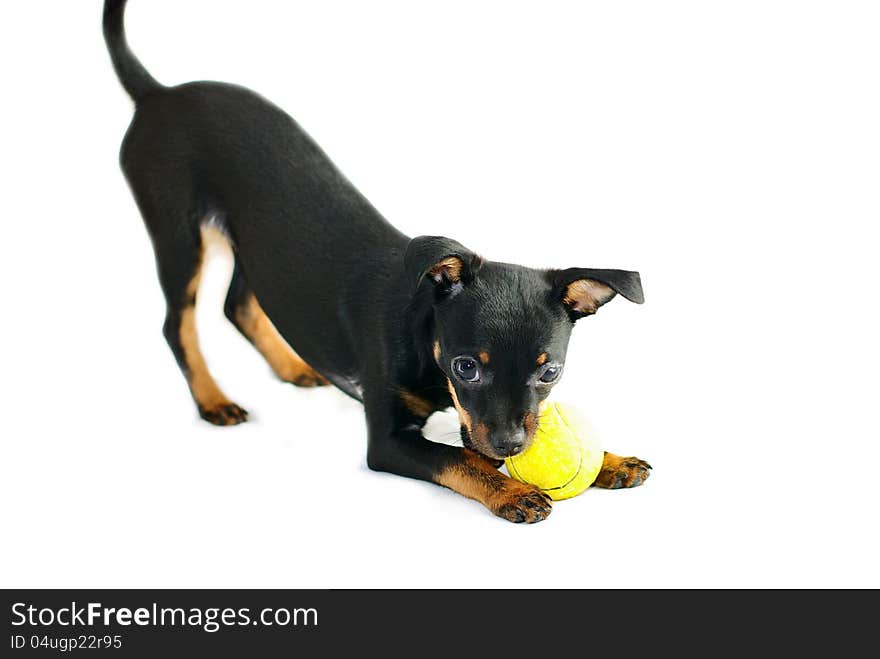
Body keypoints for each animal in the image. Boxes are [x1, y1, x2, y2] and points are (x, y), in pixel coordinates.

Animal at [106, 1, 648, 524]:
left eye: (550, 372)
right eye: (466, 367)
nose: (512, 446)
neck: (423, 338)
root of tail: (158, 94)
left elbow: (477, 443)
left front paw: (612, 460)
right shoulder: (391, 441)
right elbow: (461, 457)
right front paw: (513, 490)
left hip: (250, 245)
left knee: (238, 304)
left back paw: (292, 366)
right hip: (180, 238)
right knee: (178, 323)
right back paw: (212, 400)